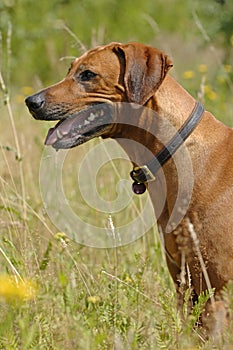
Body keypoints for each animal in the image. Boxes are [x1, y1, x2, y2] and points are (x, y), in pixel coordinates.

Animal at [24, 42, 232, 338]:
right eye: (70, 70)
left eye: (87, 74)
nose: (31, 102)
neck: (179, 148)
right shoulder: (186, 288)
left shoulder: (217, 294)